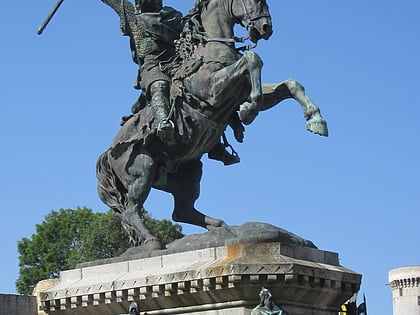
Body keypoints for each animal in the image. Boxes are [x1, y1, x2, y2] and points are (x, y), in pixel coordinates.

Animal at [97, 0, 328, 252]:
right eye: (253, 1)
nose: (266, 28)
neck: (212, 48)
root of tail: (107, 154)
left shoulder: (240, 90)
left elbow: (290, 84)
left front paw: (316, 120)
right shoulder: (213, 89)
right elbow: (252, 59)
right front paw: (249, 111)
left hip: (190, 170)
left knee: (181, 212)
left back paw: (220, 227)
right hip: (142, 170)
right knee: (132, 210)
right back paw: (152, 241)